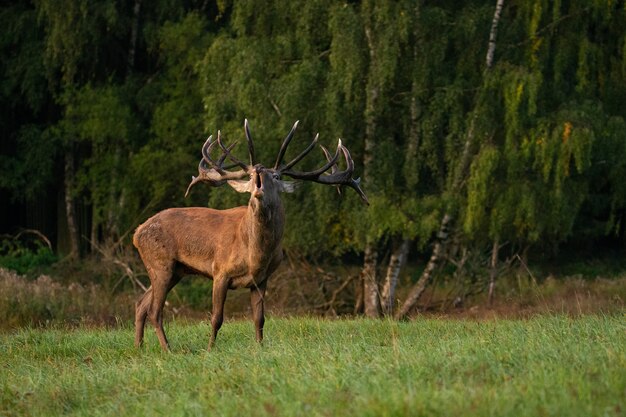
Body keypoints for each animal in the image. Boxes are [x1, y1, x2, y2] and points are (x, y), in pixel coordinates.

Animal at [132, 118, 366, 350]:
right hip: (161, 263)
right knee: (154, 310)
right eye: (251, 175)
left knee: (141, 304)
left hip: (176, 270)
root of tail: (136, 233)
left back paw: (139, 347)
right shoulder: (220, 271)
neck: (255, 256)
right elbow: (216, 318)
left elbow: (259, 318)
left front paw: (259, 347)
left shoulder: (261, 280)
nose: (259, 169)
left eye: (276, 176)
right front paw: (210, 349)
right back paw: (167, 349)